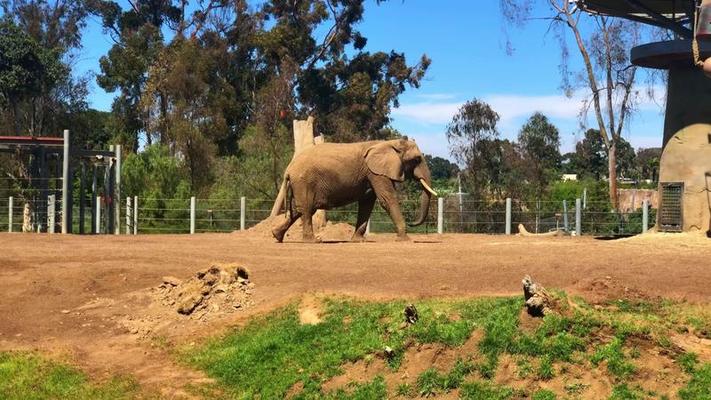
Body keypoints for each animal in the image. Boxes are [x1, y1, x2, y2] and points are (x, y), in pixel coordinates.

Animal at [272, 138, 440, 244]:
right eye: (416, 159)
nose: (412, 223)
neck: (389, 142)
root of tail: (288, 169)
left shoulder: (371, 174)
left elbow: (367, 203)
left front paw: (359, 241)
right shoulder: (377, 173)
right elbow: (387, 199)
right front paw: (405, 240)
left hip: (301, 183)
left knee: (300, 209)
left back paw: (277, 236)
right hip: (304, 181)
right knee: (306, 208)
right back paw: (313, 241)